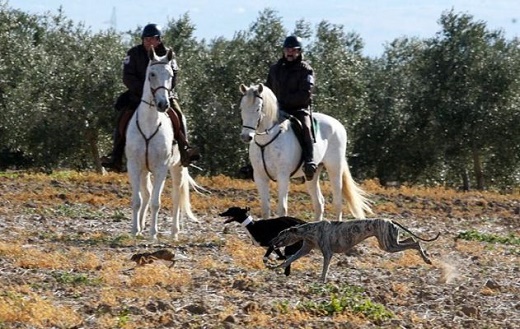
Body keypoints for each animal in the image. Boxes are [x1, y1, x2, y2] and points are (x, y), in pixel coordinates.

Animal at [126, 47, 197, 240]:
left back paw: (174, 232)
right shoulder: (134, 166)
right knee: (146, 193)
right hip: (144, 171)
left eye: (171, 74)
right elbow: (137, 200)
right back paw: (141, 226)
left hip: (177, 168)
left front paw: (153, 234)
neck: (149, 124)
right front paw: (135, 230)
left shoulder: (161, 168)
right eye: (151, 74)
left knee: (176, 196)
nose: (163, 104)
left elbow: (156, 202)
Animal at [238, 82, 372, 220]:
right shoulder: (260, 177)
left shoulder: (283, 176)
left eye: (258, 109)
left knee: (337, 201)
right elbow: (265, 210)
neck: (266, 142)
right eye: (241, 108)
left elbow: (282, 209)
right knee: (319, 202)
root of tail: (337, 124)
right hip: (313, 173)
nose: (246, 137)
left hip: (334, 168)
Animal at [270, 219, 440, 280]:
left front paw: (321, 281)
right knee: (412, 240)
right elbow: (288, 260)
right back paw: (426, 256)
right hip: (390, 242)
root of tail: (391, 221)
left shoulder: (328, 253)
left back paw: (427, 259)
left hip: (388, 245)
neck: (310, 230)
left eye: (280, 234)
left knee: (415, 242)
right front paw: (274, 267)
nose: (270, 242)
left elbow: (325, 268)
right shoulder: (305, 249)